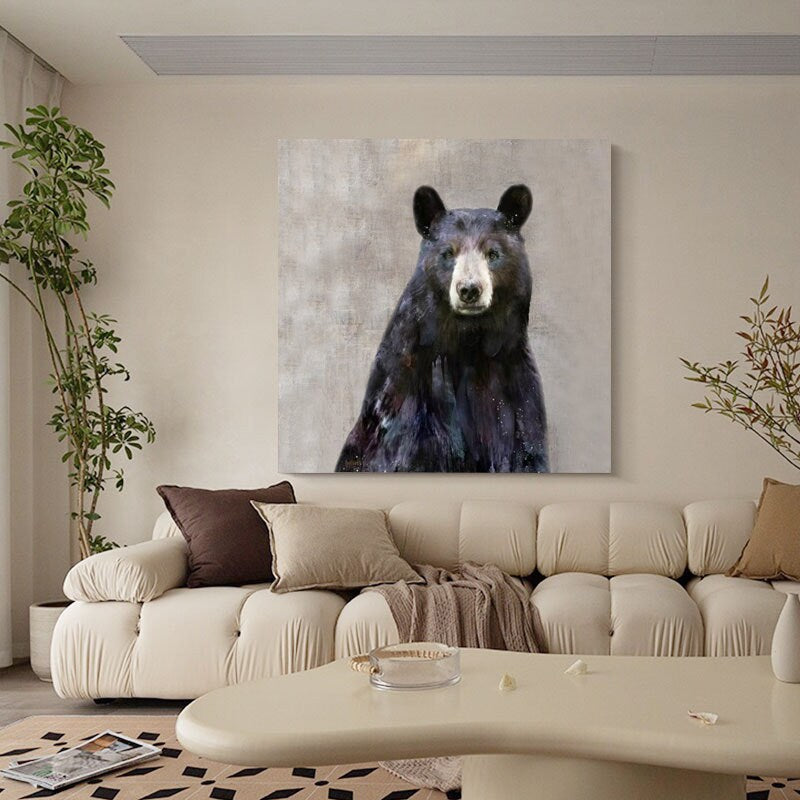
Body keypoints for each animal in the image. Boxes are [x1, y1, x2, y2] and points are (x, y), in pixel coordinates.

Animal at [335, 184, 549, 473]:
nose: (469, 290)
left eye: (493, 253)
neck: (468, 341)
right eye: (448, 253)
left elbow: (525, 451)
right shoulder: (405, 389)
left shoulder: (516, 388)